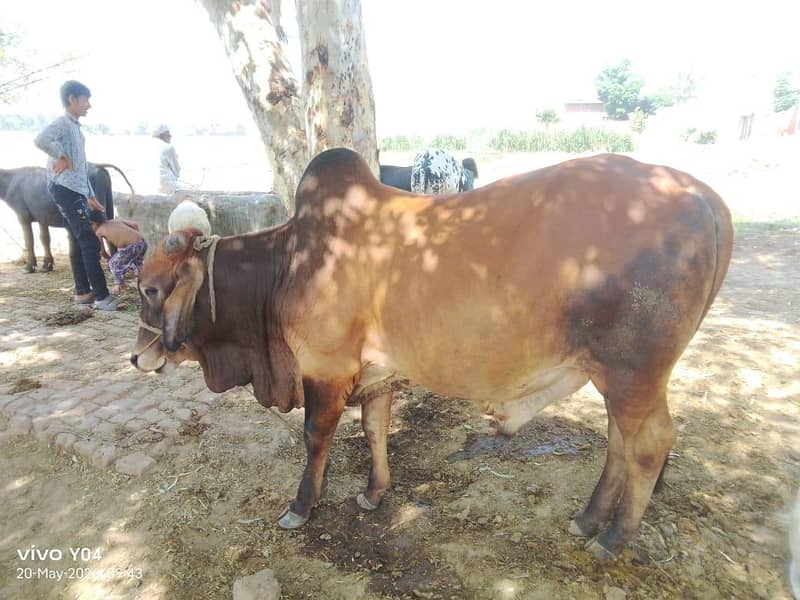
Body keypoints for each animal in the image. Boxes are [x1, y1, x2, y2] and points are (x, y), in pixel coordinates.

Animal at [0, 163, 135, 272]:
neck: (10, 181)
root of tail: (97, 166)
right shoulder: (42, 217)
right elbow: (45, 239)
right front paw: (47, 265)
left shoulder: (23, 215)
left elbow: (29, 240)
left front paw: (29, 267)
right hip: (109, 205)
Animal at [131, 148, 733, 560]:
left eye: (151, 288)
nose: (137, 358)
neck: (287, 265)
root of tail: (702, 194)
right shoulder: (375, 373)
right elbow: (374, 429)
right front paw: (374, 493)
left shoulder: (325, 369)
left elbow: (315, 438)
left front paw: (301, 508)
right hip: (617, 377)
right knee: (619, 442)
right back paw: (587, 520)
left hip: (633, 374)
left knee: (649, 445)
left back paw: (613, 539)